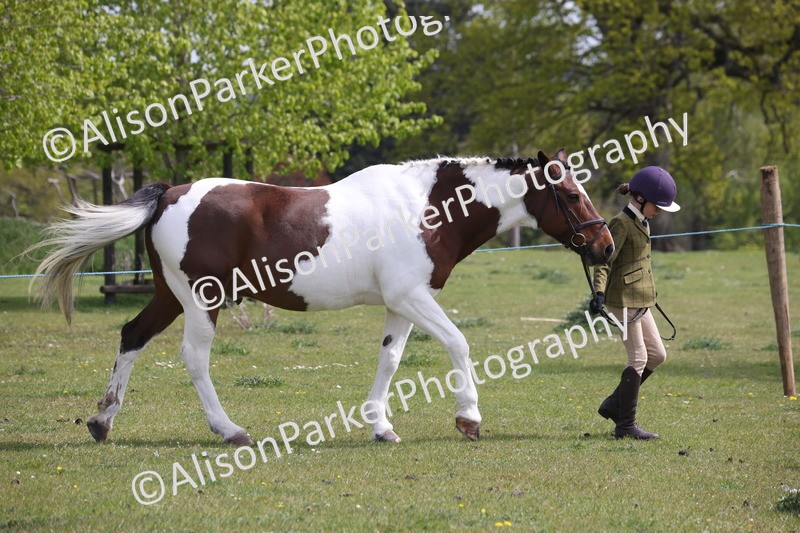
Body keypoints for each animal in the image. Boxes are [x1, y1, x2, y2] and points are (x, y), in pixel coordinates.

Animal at [31, 148, 613, 445]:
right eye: (570, 192)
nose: (605, 245)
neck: (428, 209)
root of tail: (173, 192)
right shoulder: (413, 297)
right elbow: (459, 344)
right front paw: (468, 418)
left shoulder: (401, 303)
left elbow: (390, 359)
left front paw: (380, 426)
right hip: (201, 301)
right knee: (193, 358)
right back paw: (229, 430)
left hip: (170, 296)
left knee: (133, 336)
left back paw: (102, 422)